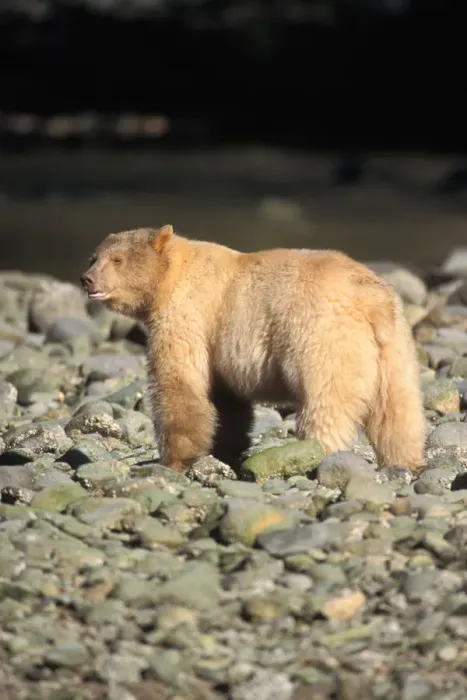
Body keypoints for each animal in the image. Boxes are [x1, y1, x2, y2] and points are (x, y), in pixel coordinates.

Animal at [80, 225, 426, 472]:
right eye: (94, 257)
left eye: (117, 260)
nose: (87, 279)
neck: (171, 278)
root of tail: (370, 301)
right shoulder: (219, 346)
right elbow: (227, 403)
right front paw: (224, 451)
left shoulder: (187, 318)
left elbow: (180, 384)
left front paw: (173, 459)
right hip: (394, 347)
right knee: (397, 410)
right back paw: (405, 461)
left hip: (324, 338)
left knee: (327, 403)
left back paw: (320, 455)